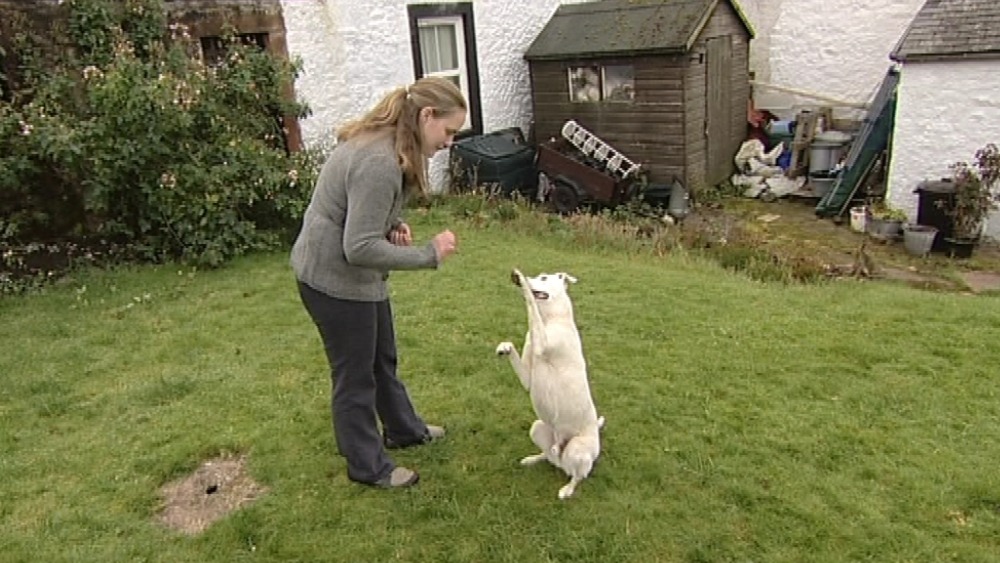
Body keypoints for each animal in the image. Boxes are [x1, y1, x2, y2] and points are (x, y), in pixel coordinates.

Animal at [496, 269, 604, 499]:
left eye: (544, 278)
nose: (523, 279)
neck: (551, 319)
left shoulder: (543, 342)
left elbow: (530, 304)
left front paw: (522, 282)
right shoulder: (527, 377)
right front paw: (504, 347)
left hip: (578, 448)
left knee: (579, 476)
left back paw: (567, 489)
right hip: (537, 428)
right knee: (550, 456)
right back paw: (533, 459)